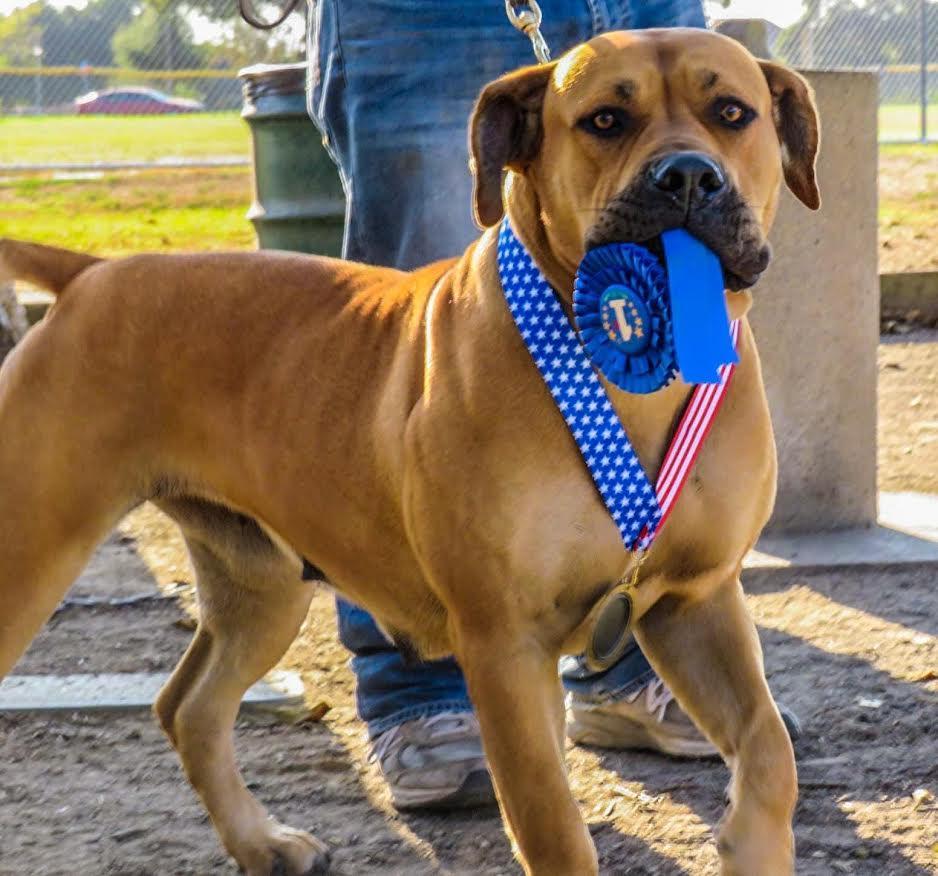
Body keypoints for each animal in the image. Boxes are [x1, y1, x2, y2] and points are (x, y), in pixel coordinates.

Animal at [0, 28, 819, 876]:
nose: (687, 173)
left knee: (188, 706)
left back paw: (262, 841)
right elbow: (554, 823)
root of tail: (92, 273)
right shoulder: (503, 646)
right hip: (30, 547)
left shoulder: (698, 602)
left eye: (732, 113)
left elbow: (769, 747)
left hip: (258, 585)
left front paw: (752, 842)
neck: (632, 374)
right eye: (604, 120)